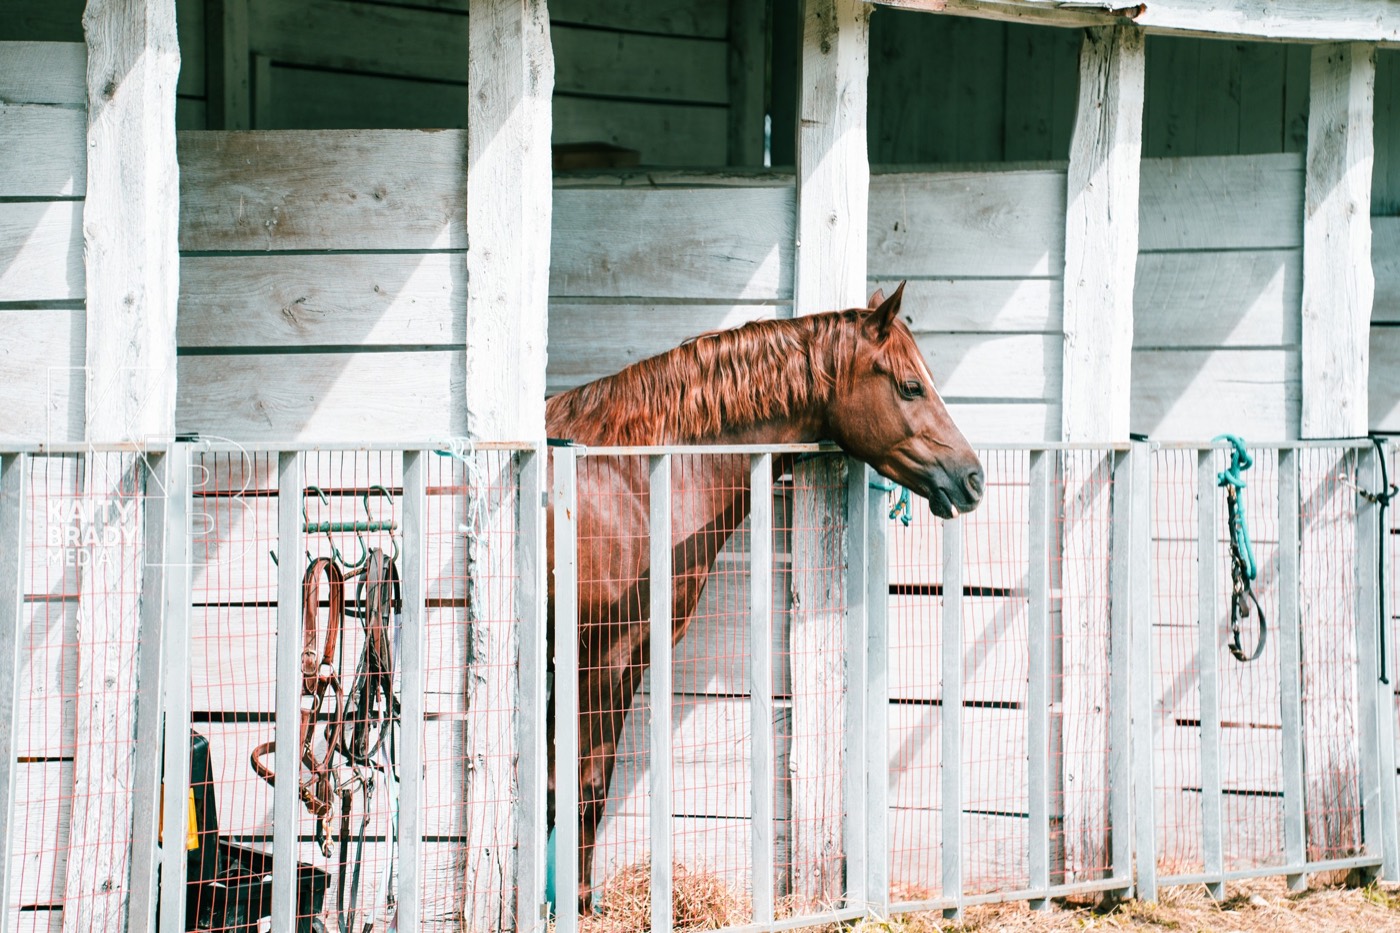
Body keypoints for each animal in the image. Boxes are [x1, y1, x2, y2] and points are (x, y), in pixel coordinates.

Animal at [542, 283, 983, 912]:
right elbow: (581, 785)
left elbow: (568, 786)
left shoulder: (609, 657)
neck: (631, 478)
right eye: (910, 385)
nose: (972, 479)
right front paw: (574, 904)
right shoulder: (601, 656)